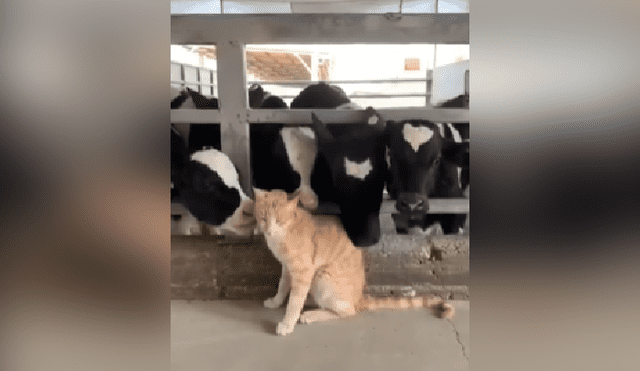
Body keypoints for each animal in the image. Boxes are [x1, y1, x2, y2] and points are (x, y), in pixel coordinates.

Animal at [252, 189, 452, 338]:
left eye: (279, 220)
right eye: (263, 218)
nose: (268, 230)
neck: (283, 234)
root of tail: (360, 297)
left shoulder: (303, 272)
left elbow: (294, 302)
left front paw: (287, 324)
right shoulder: (287, 267)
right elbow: (282, 286)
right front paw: (275, 302)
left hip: (322, 277)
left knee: (349, 311)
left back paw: (311, 314)